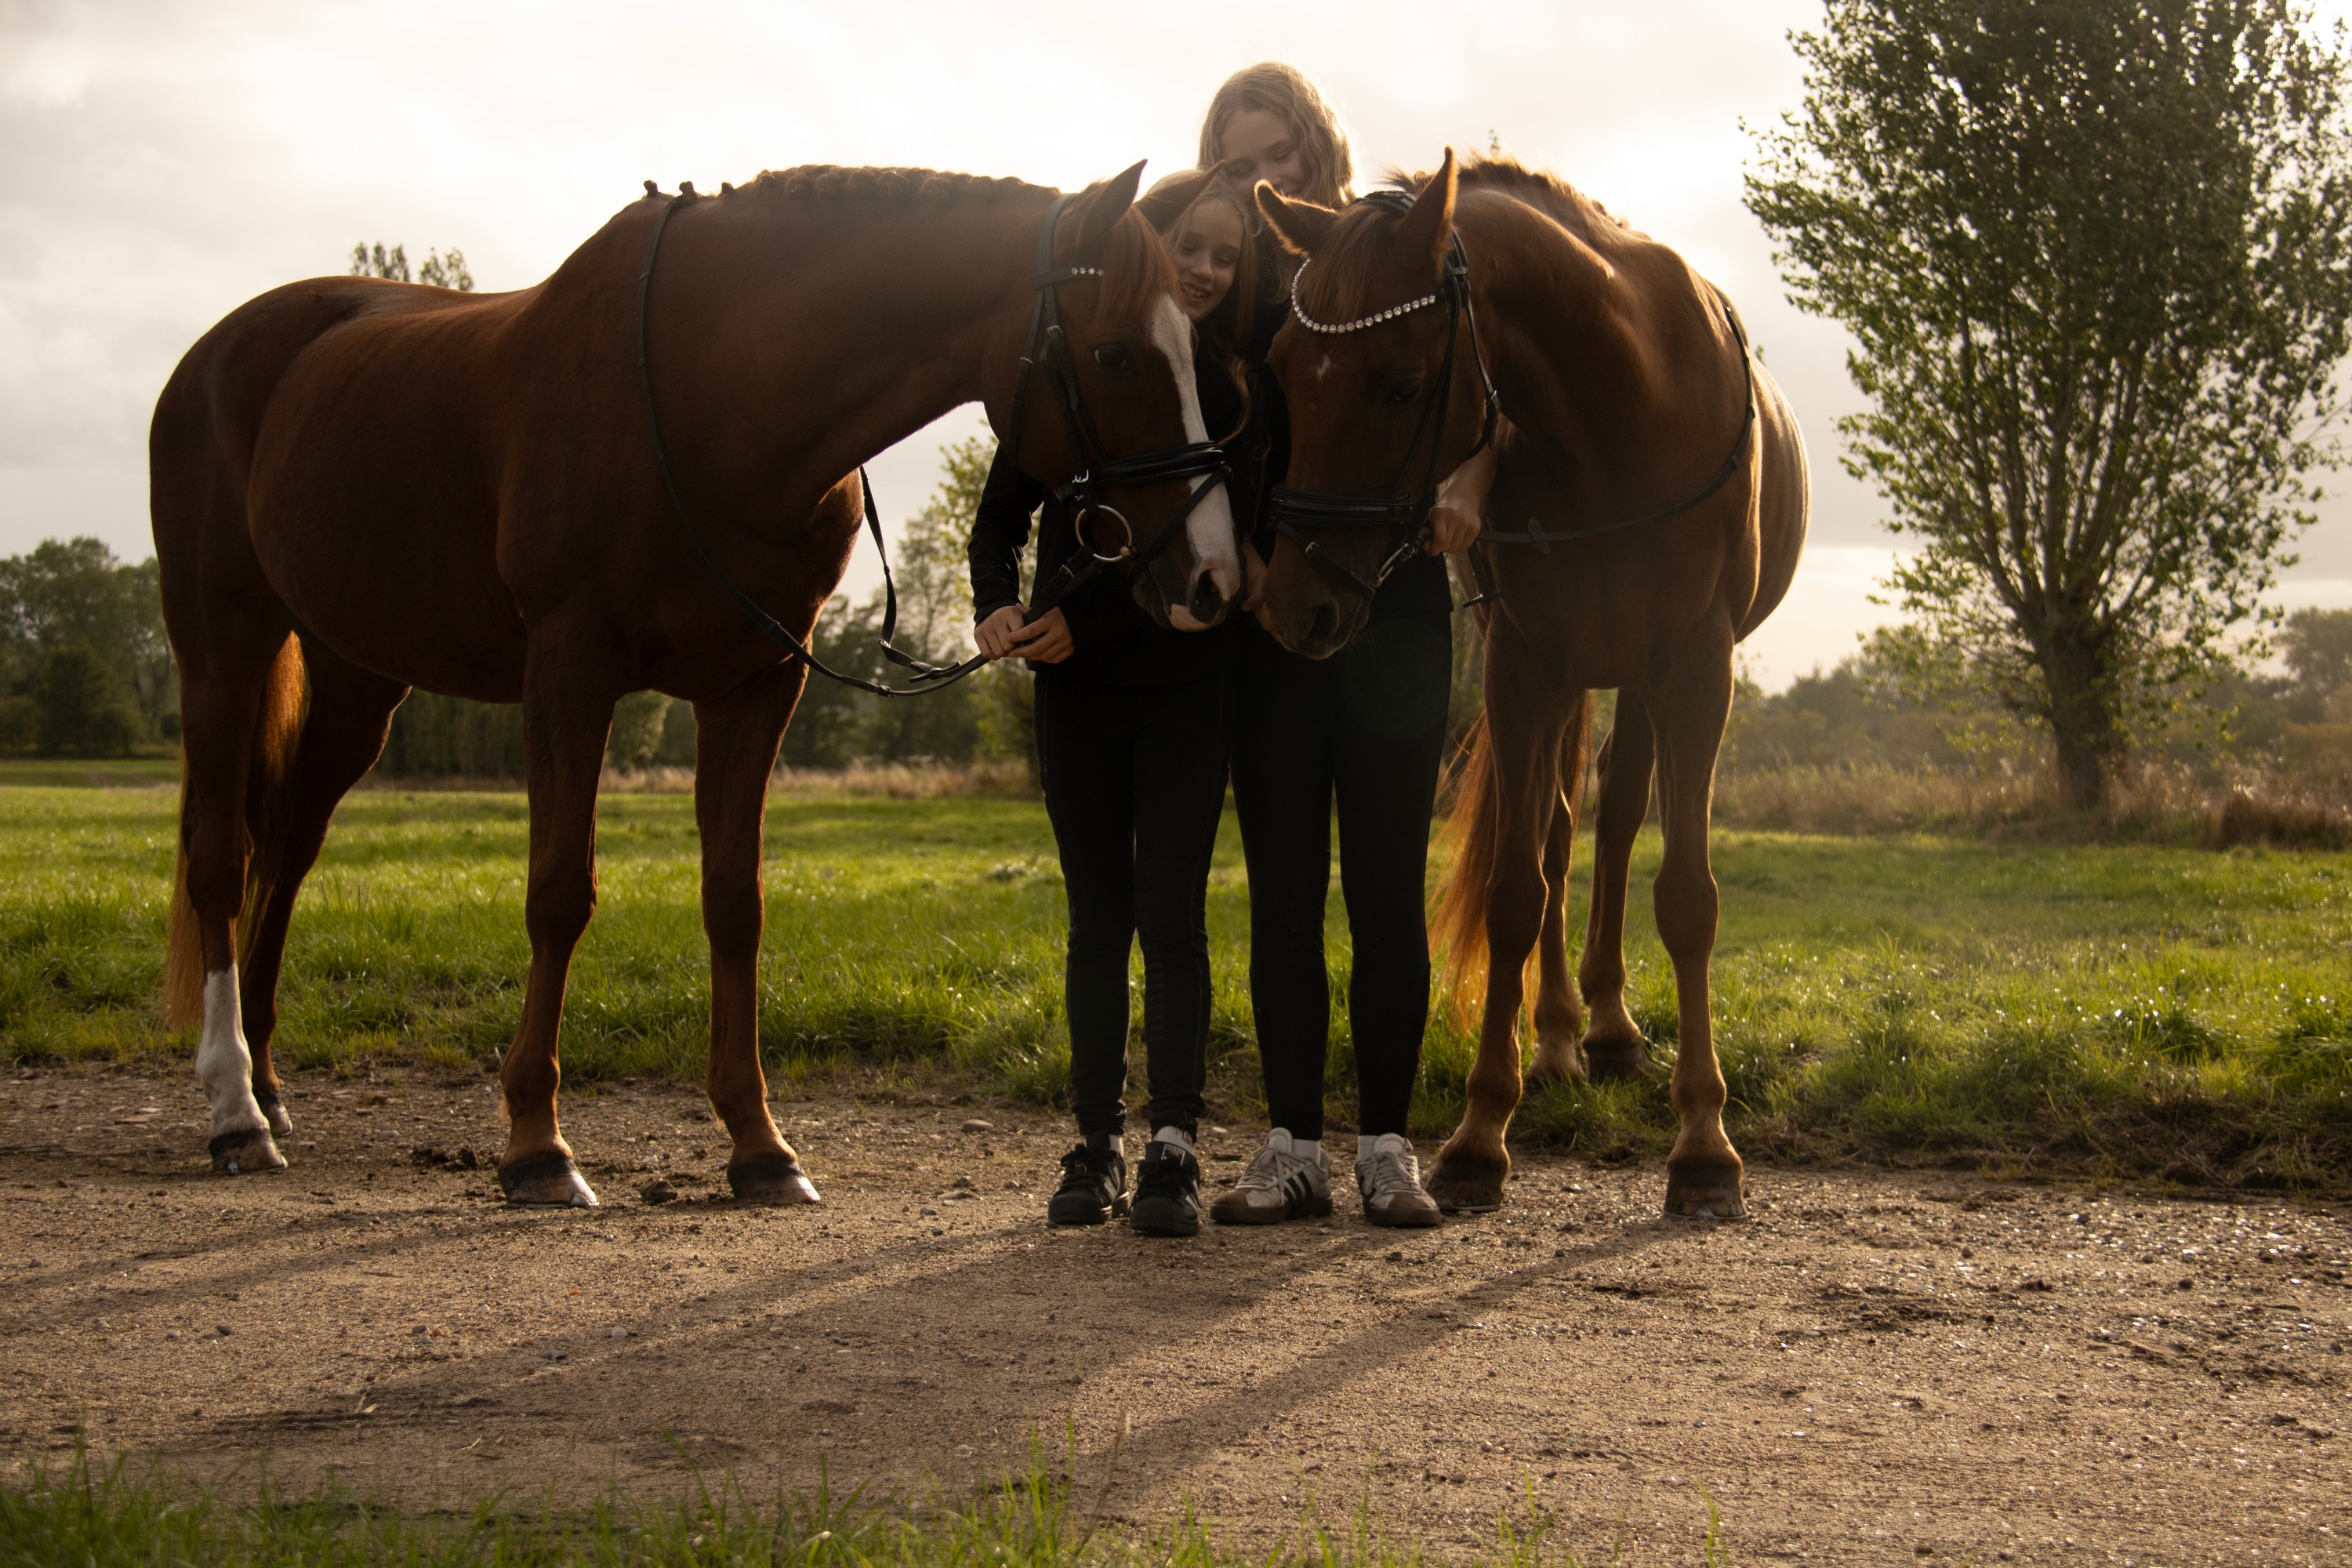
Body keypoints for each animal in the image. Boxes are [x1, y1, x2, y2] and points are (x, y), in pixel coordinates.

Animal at [150, 160, 1239, 1207]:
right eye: (1116, 354)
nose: (1212, 575)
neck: (713, 391)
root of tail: (219, 352)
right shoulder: (570, 671)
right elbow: (559, 893)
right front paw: (537, 1145)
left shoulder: (755, 685)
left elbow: (734, 902)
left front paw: (759, 1147)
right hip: (223, 643)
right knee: (220, 858)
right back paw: (234, 1110)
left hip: (356, 679)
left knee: (287, 852)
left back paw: (270, 1088)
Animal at [1252, 151, 1810, 1219]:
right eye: (1285, 370)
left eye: (1400, 386)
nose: (1297, 605)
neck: (1617, 417)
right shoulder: (1527, 664)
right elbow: (1518, 886)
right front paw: (1479, 1135)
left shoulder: (1693, 669)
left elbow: (1687, 894)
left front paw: (1704, 1144)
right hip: (1577, 677)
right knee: (1555, 824)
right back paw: (1556, 1035)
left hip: (1635, 679)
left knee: (1619, 815)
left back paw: (1610, 1026)